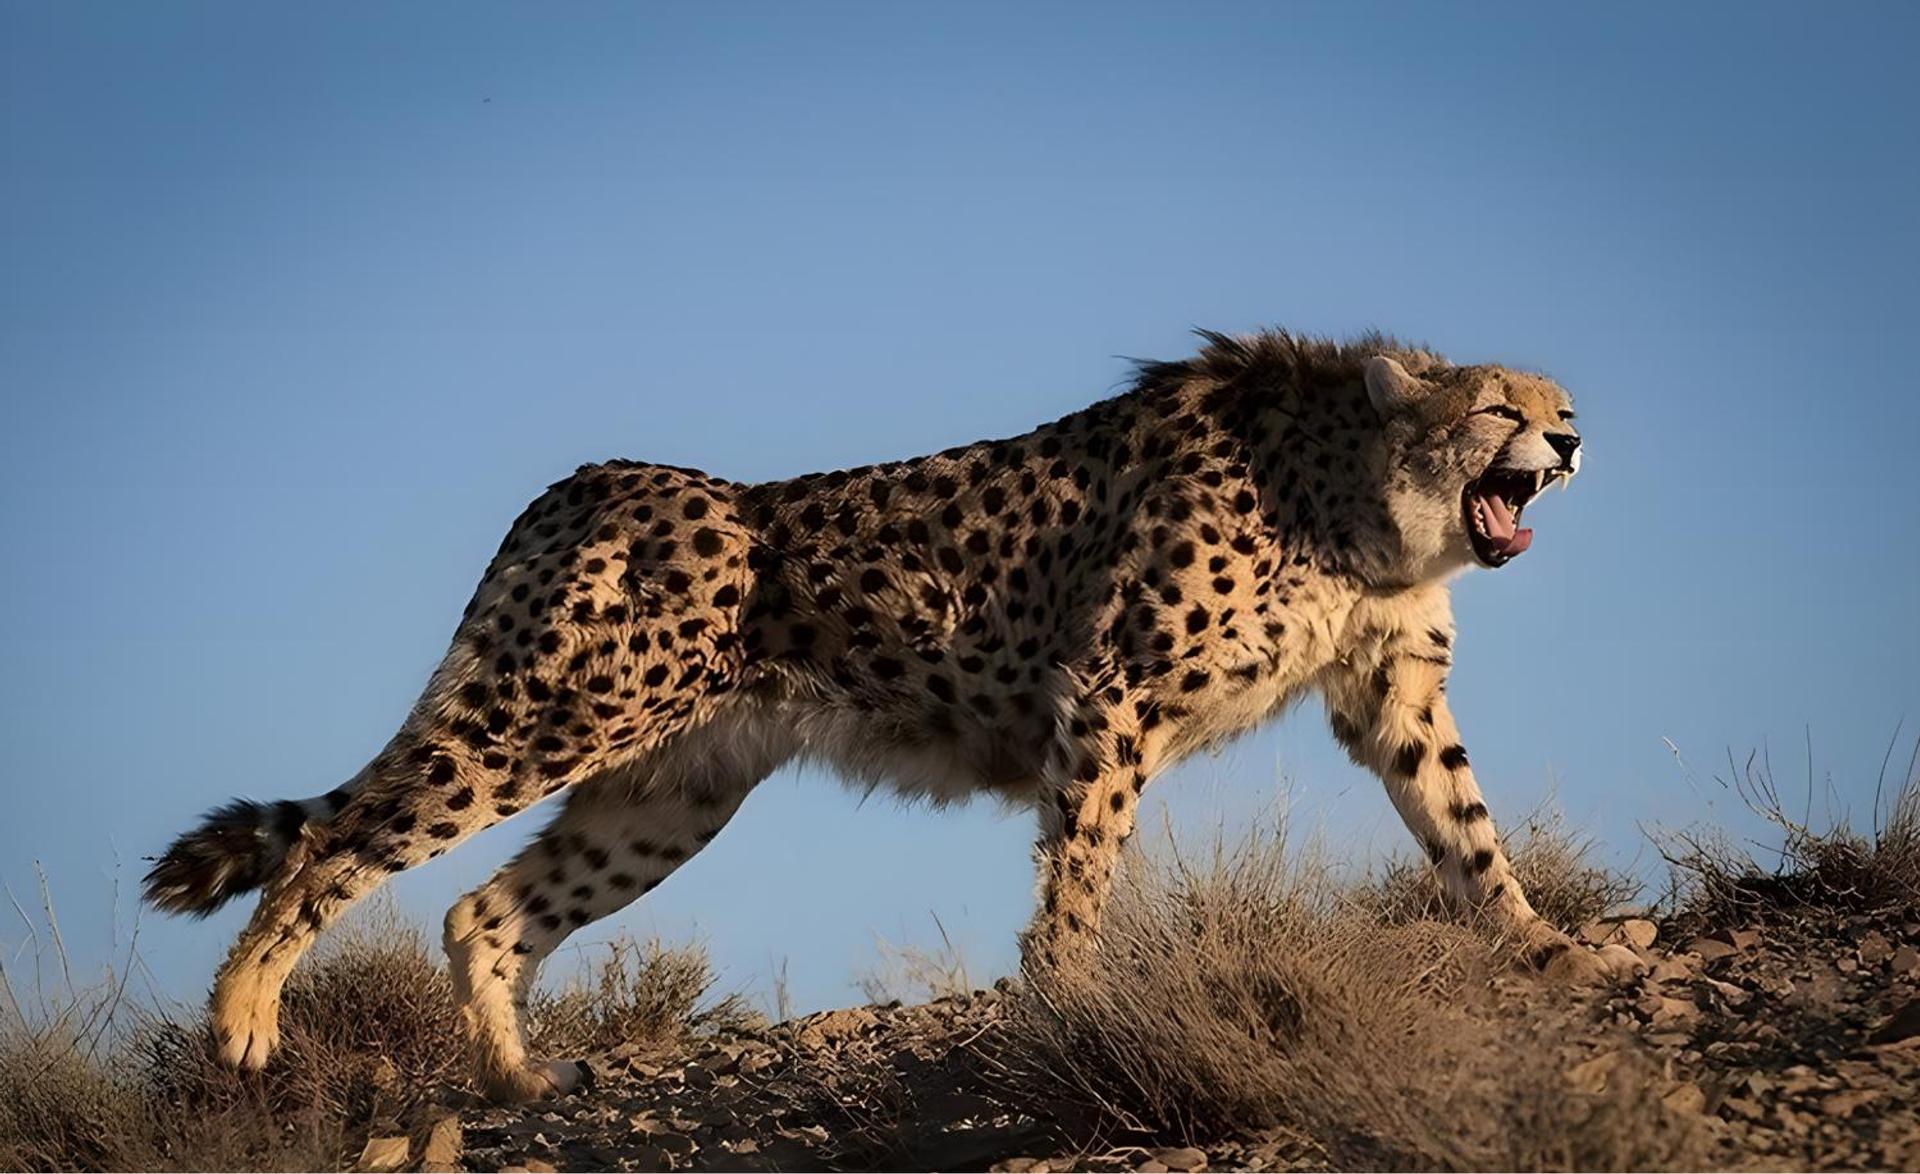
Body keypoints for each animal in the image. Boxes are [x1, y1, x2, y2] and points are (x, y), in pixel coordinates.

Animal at [145, 328, 1636, 1102]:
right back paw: (244, 1020)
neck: (1350, 497)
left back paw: (514, 1081)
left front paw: (1547, 947)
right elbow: (1082, 867)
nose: (1570, 444)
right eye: (1497, 407)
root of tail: (599, 479)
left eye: (1562, 405)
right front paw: (1068, 994)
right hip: (551, 714)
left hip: (668, 793)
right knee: (334, 837)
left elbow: (1465, 826)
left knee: (486, 908)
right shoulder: (1108, 692)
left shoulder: (1390, 694)